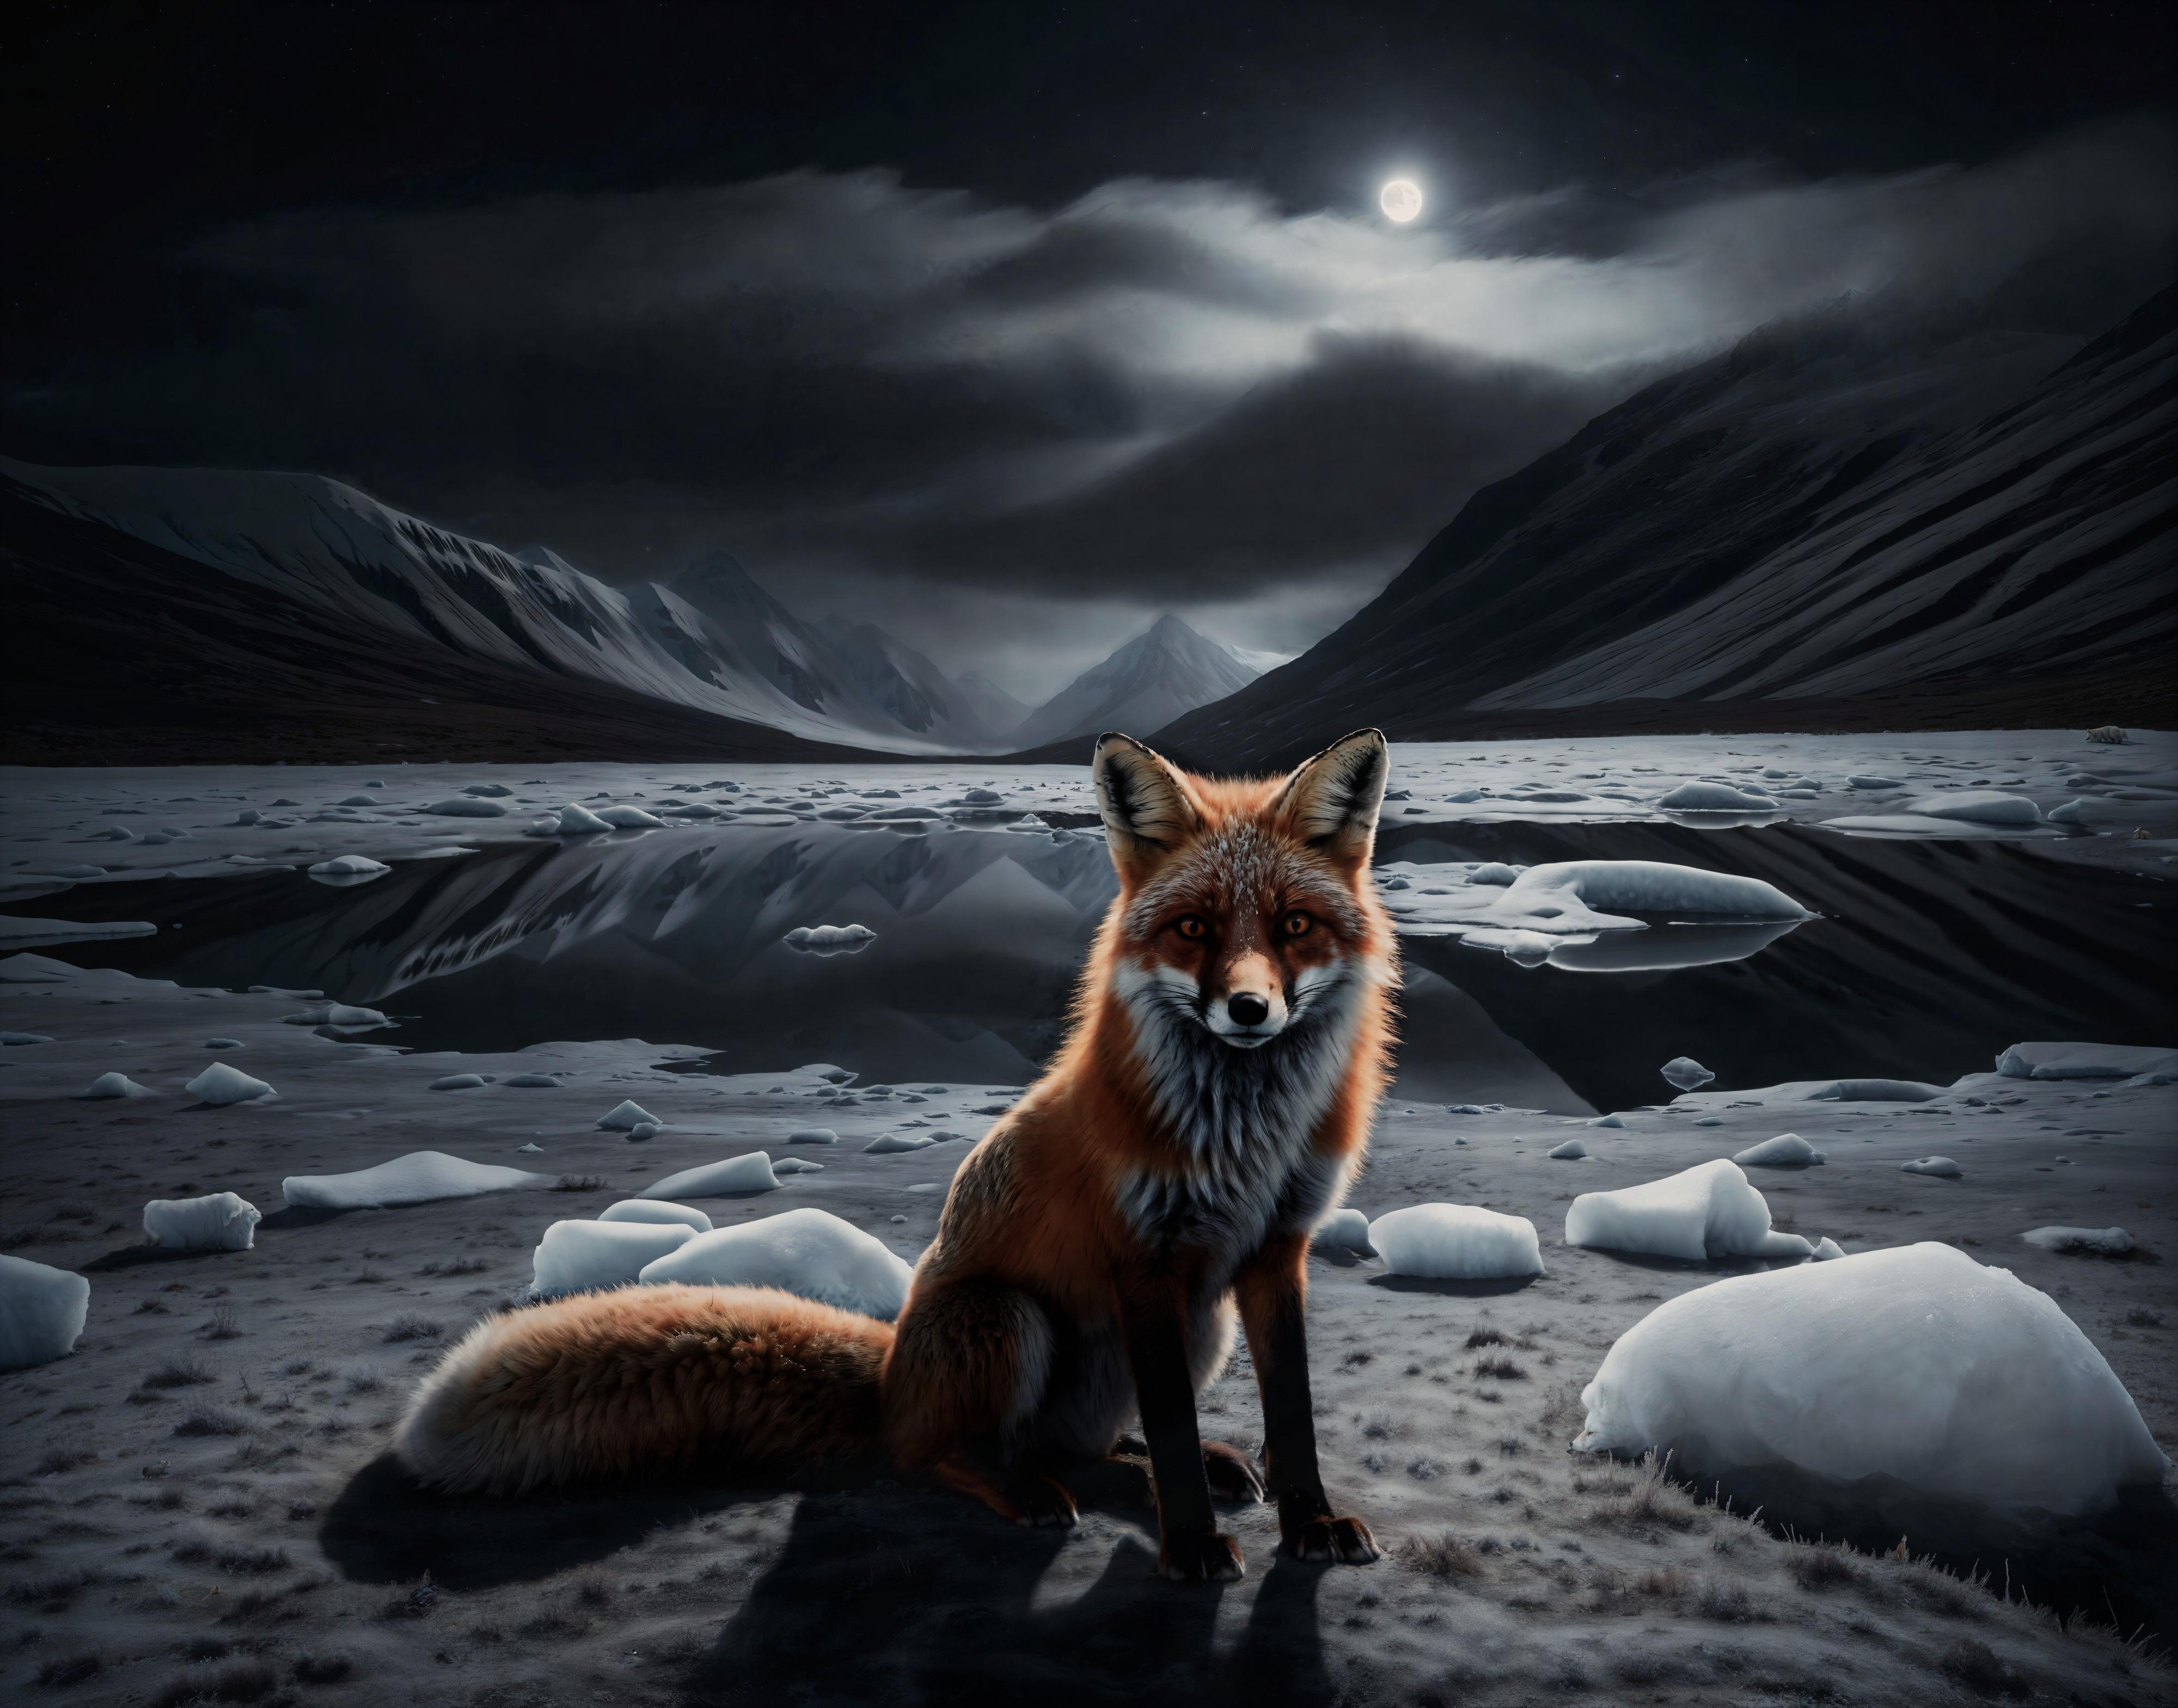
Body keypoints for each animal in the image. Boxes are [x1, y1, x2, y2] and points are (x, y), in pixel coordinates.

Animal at [397, 727, 1398, 1581]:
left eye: (1294, 925)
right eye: (1194, 928)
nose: (1249, 1010)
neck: (1244, 1136)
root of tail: (887, 1382)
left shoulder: (1276, 1252)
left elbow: (1292, 1418)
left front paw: (1310, 1524)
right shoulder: (1145, 1261)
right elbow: (1177, 1437)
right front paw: (1190, 1546)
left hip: (1202, 1323)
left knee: (1095, 1443)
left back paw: (1149, 1465)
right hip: (1010, 1318)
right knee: (943, 1456)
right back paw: (1030, 1491)